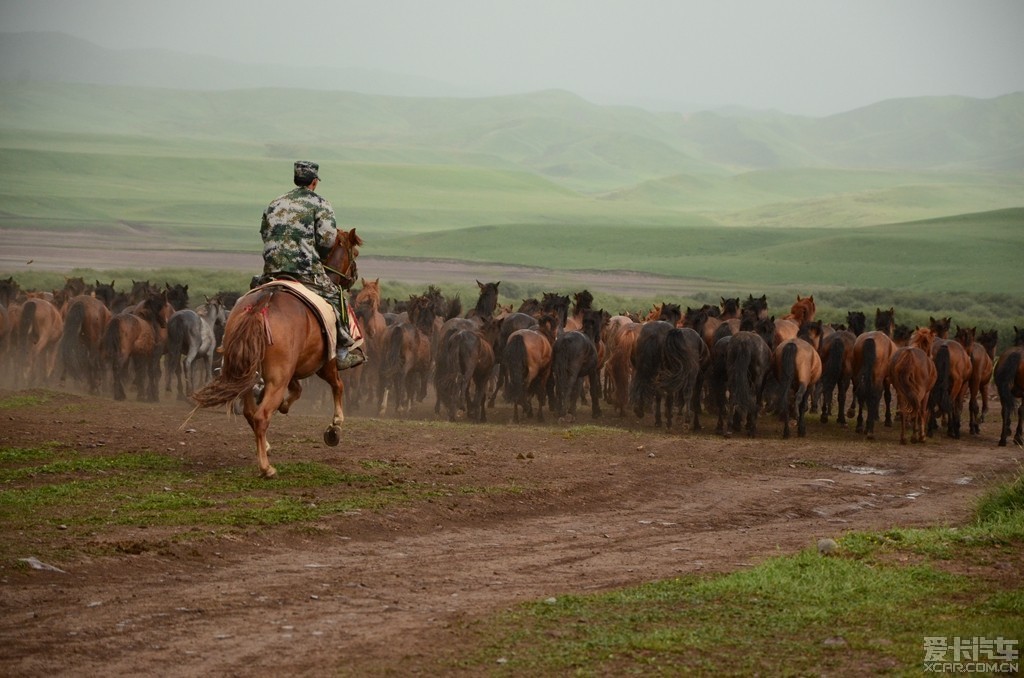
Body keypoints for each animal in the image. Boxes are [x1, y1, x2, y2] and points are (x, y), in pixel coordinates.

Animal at [190, 228, 362, 477]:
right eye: (354, 252)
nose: (354, 276)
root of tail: (260, 307)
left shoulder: (293, 370)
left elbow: (297, 390)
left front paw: (284, 405)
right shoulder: (325, 363)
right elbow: (337, 386)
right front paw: (334, 428)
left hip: (249, 375)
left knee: (251, 413)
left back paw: (266, 447)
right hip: (277, 377)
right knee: (261, 416)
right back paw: (266, 468)